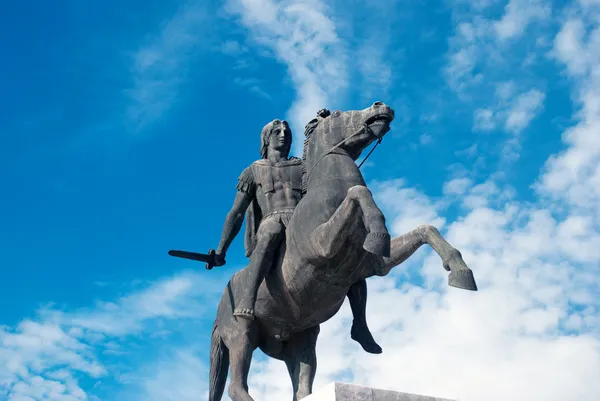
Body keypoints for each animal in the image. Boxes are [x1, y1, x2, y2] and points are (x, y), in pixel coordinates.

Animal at [209, 102, 476, 400]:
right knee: (236, 385)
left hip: (301, 340)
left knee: (302, 385)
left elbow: (425, 230)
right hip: (241, 335)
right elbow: (358, 192)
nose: (381, 106)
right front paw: (379, 232)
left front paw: (460, 270)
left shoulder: (373, 265)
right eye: (337, 114)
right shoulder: (322, 247)